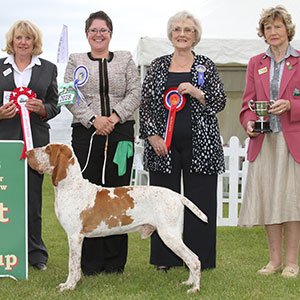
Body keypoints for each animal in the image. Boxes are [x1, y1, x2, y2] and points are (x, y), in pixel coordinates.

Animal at [27, 144, 207, 292]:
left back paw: (195, 288)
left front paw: (70, 286)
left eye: (48, 149)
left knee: (194, 260)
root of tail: (177, 195)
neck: (71, 186)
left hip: (169, 235)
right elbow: (75, 266)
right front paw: (69, 284)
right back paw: (189, 282)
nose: (28, 152)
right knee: (191, 259)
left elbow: (72, 265)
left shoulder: (74, 236)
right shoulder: (76, 238)